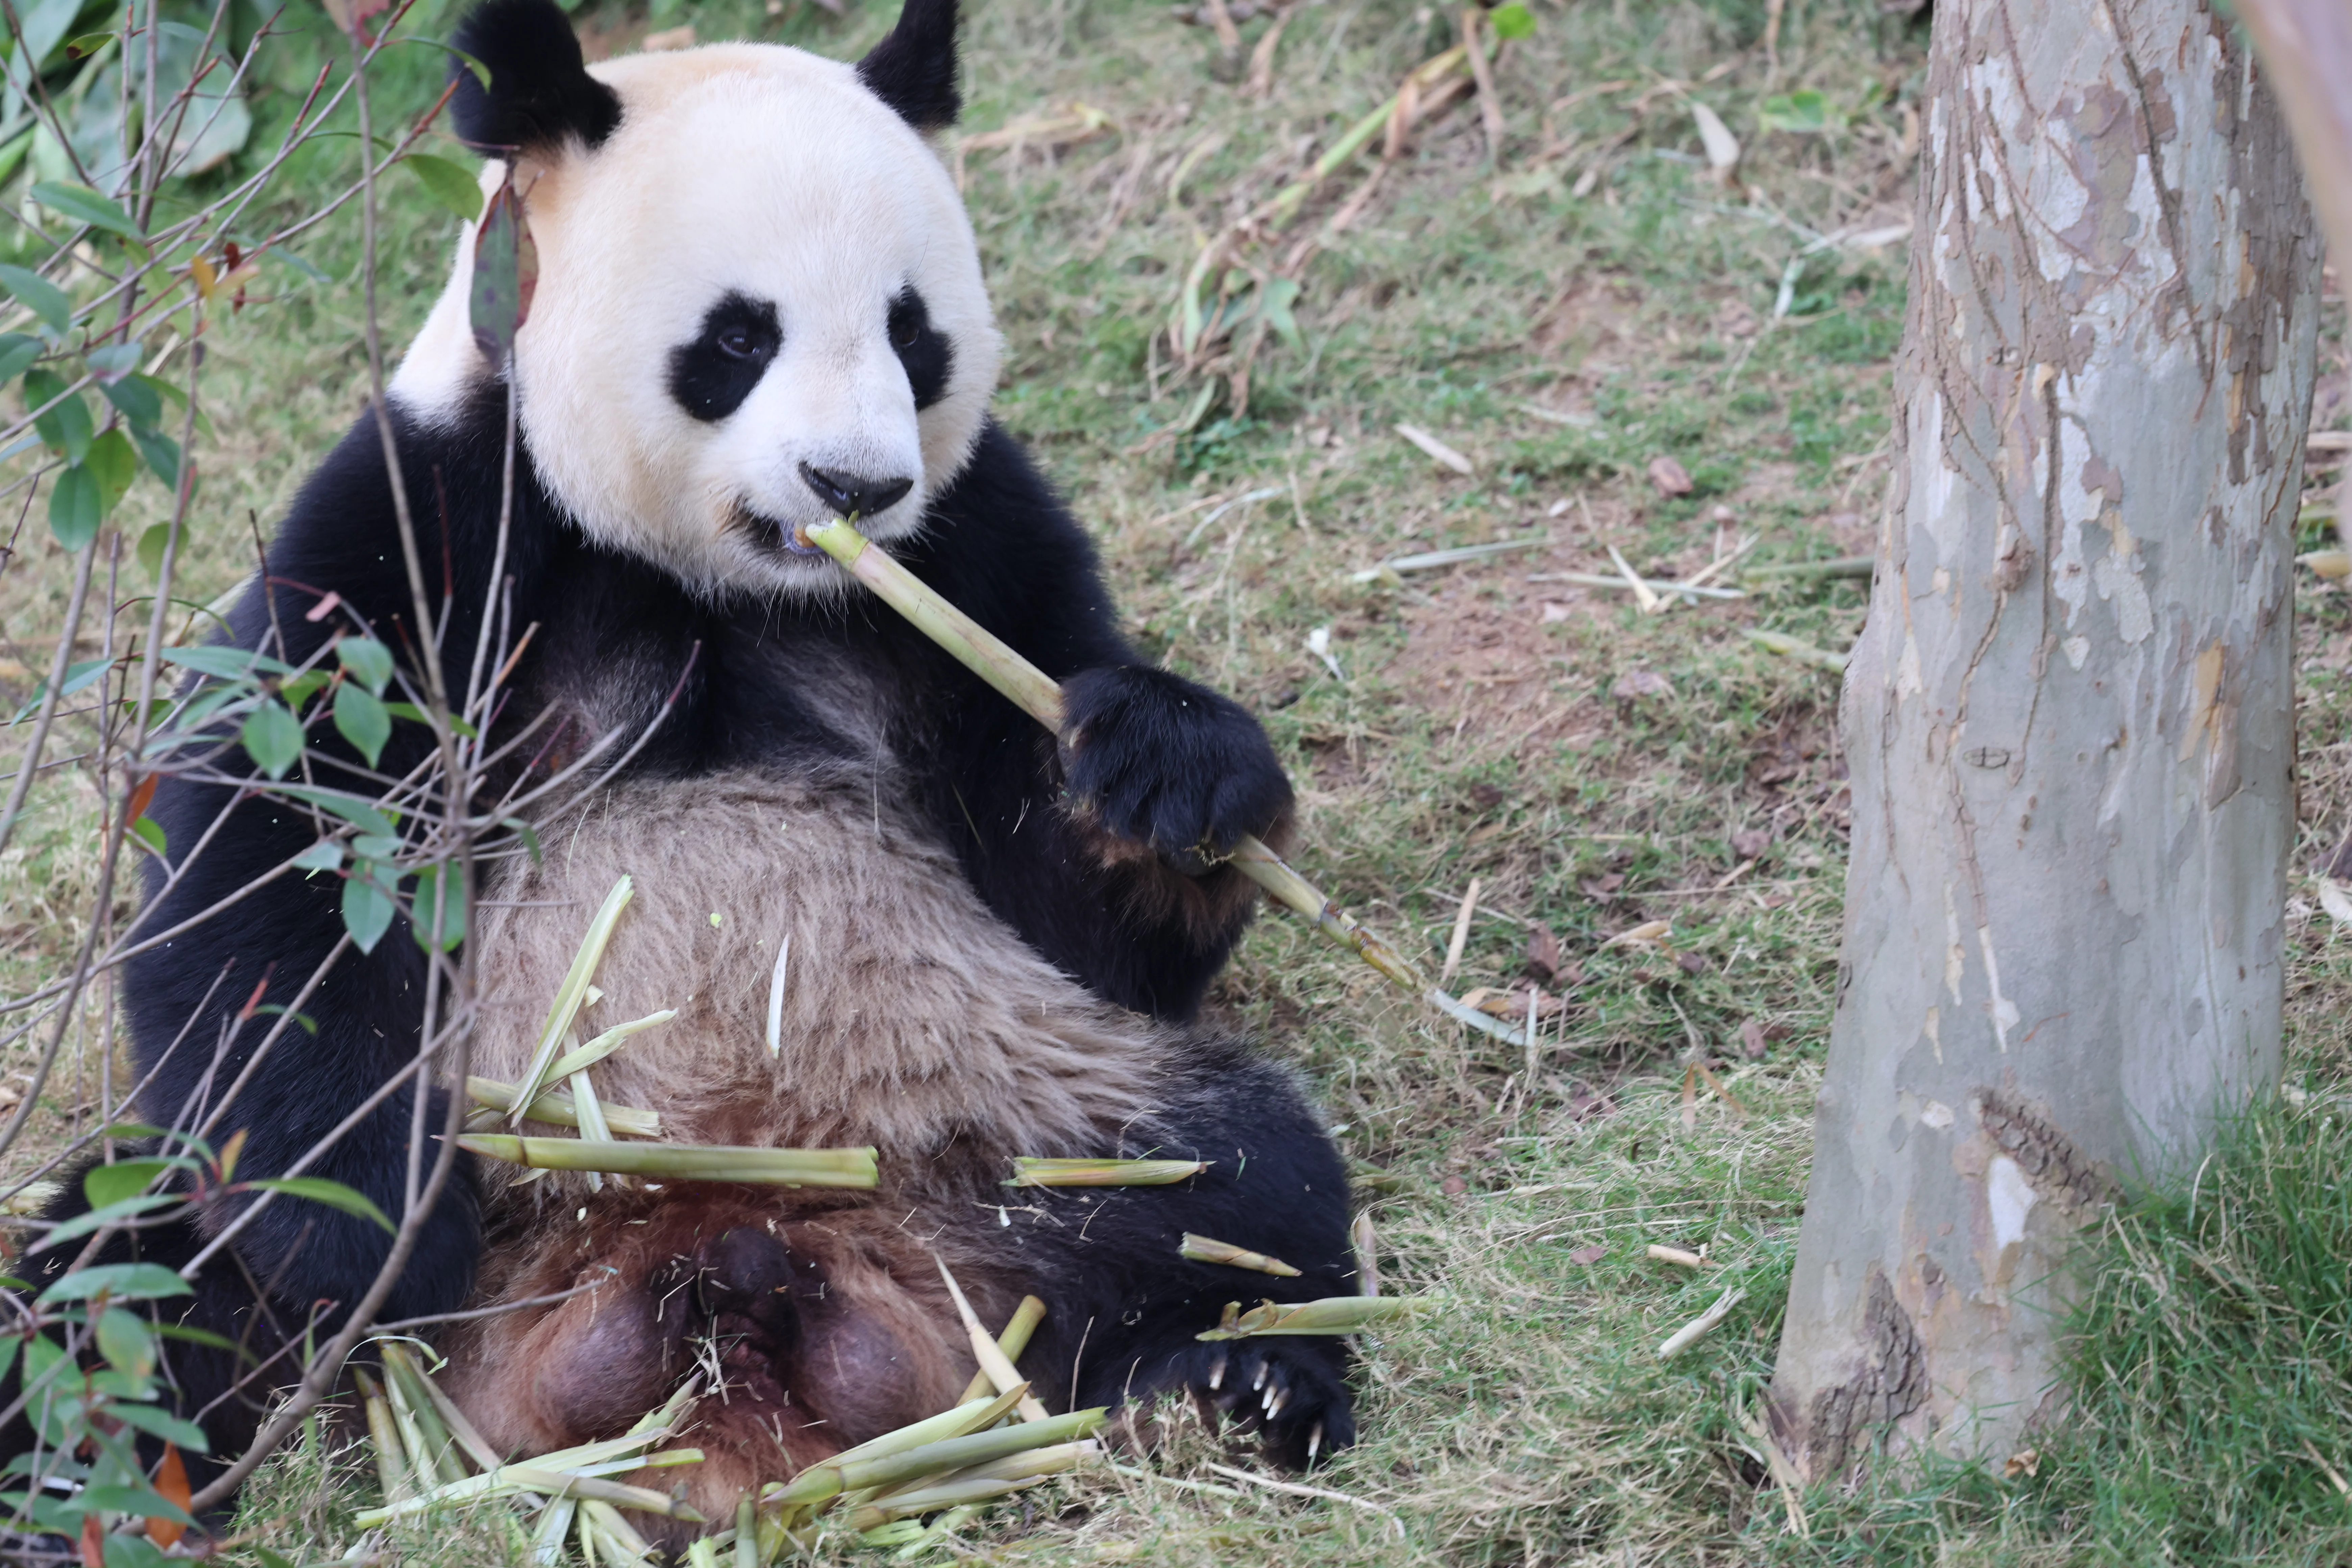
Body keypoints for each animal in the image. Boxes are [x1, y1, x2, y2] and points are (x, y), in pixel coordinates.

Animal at [21, 0, 1362, 1529]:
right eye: (736, 337)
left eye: (913, 332)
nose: (856, 489)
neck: (732, 581)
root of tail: (716, 1282)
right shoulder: (427, 520)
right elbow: (269, 866)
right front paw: (380, 1239)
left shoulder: (973, 547)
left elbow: (1084, 915)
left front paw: (1167, 773)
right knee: (121, 1285)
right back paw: (85, 1476)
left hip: (1021, 1108)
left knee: (1236, 1189)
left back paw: (1239, 1387)